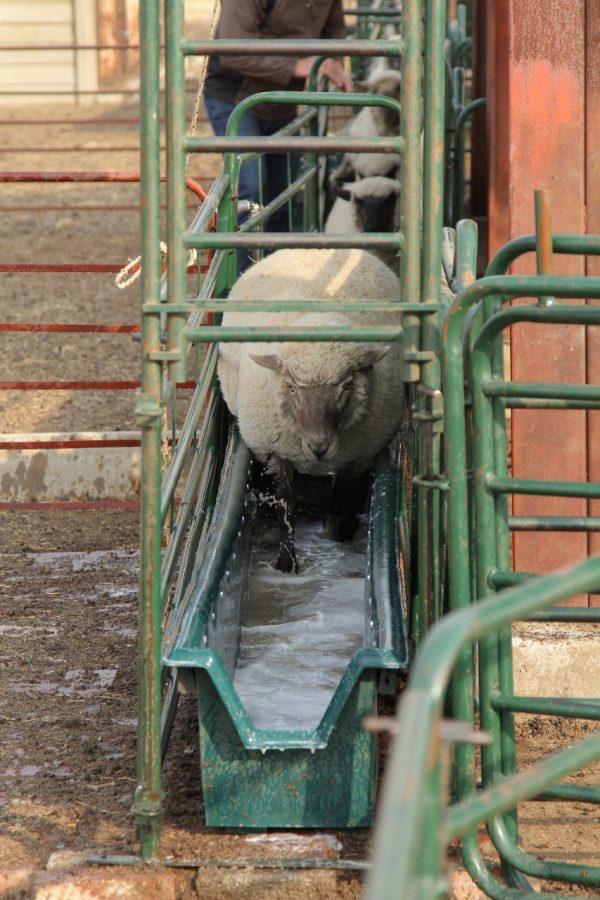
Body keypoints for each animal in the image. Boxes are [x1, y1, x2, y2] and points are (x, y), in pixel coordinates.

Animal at [218, 246, 406, 568]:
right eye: (292, 386)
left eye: (346, 384)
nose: (319, 446)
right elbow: (287, 504)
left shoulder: (356, 454)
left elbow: (342, 495)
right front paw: (286, 562)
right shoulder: (276, 451)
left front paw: (338, 533)